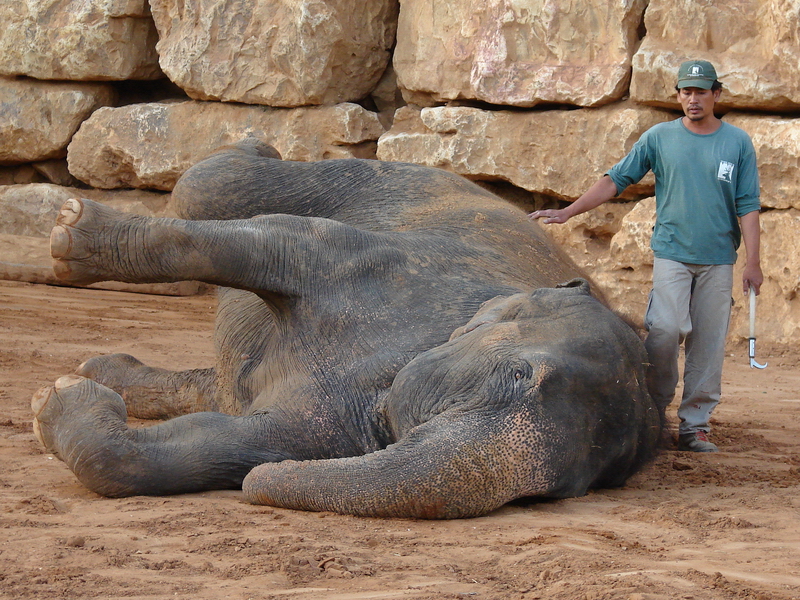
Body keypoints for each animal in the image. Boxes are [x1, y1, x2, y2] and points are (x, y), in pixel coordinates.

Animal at [31, 139, 661, 519]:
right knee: (209, 183)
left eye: (564, 491)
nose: (262, 485)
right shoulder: (382, 266)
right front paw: (69, 233)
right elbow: (281, 239)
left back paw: (97, 371)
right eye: (518, 374)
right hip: (382, 179)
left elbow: (214, 445)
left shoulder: (325, 432)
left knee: (218, 388)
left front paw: (57, 398)